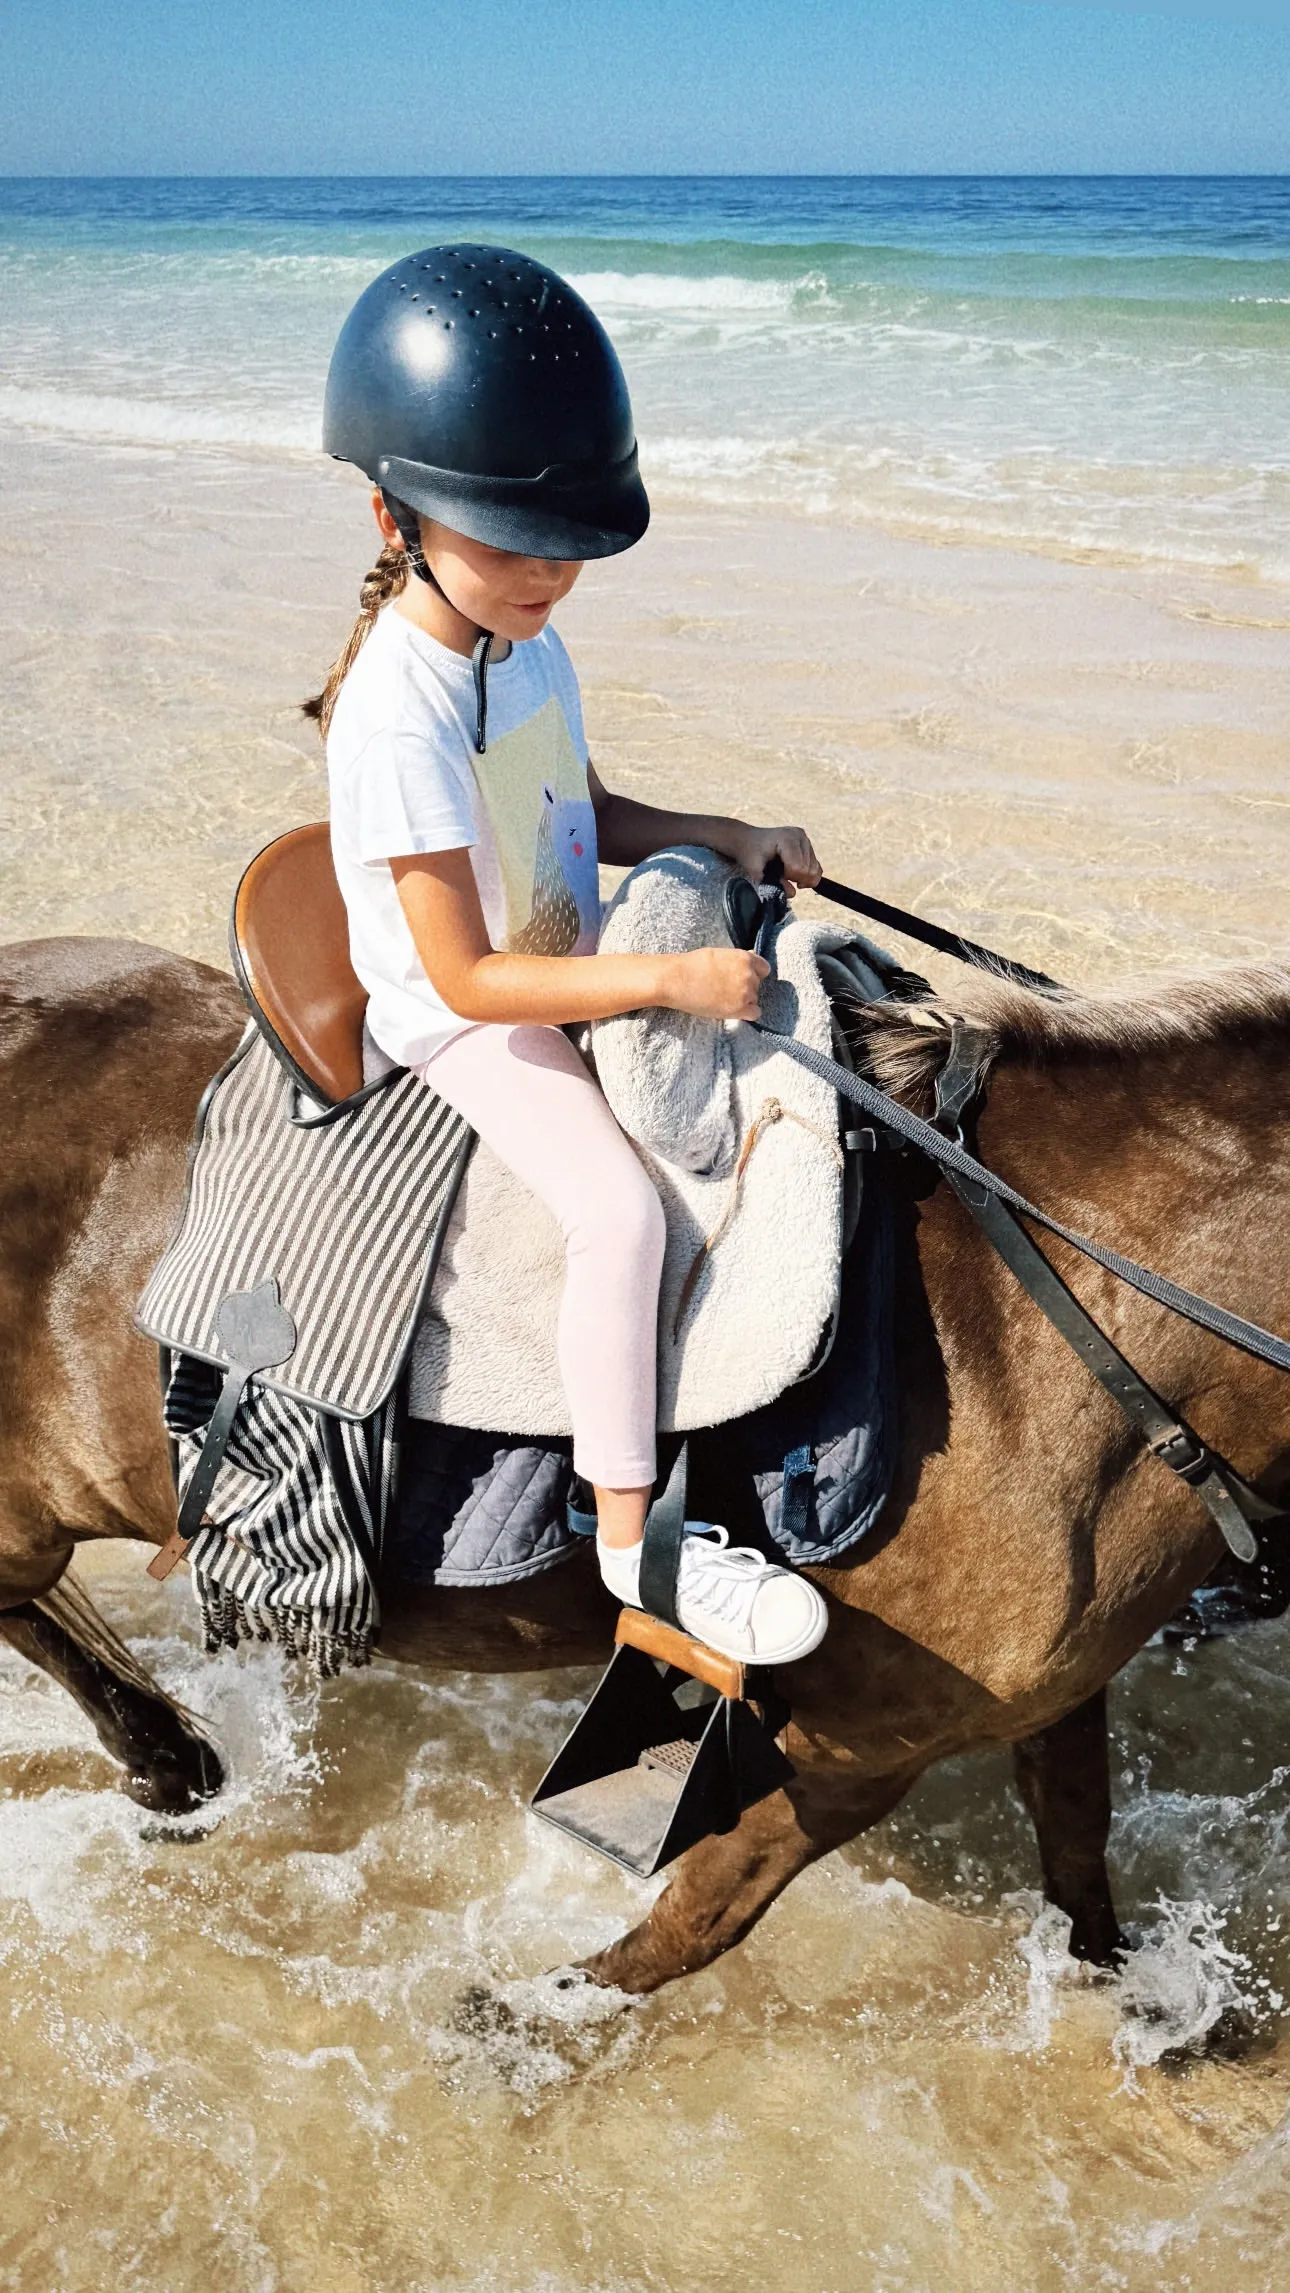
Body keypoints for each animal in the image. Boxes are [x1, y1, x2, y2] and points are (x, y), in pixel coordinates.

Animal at [2, 926, 1290, 1990]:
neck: (1049, 1329)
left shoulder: (1051, 1689)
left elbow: (1078, 1841)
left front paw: (1137, 1999)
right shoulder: (861, 1742)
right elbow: (700, 1919)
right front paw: (528, 2019)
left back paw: (172, 1760)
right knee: (30, 1610)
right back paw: (165, 1760)